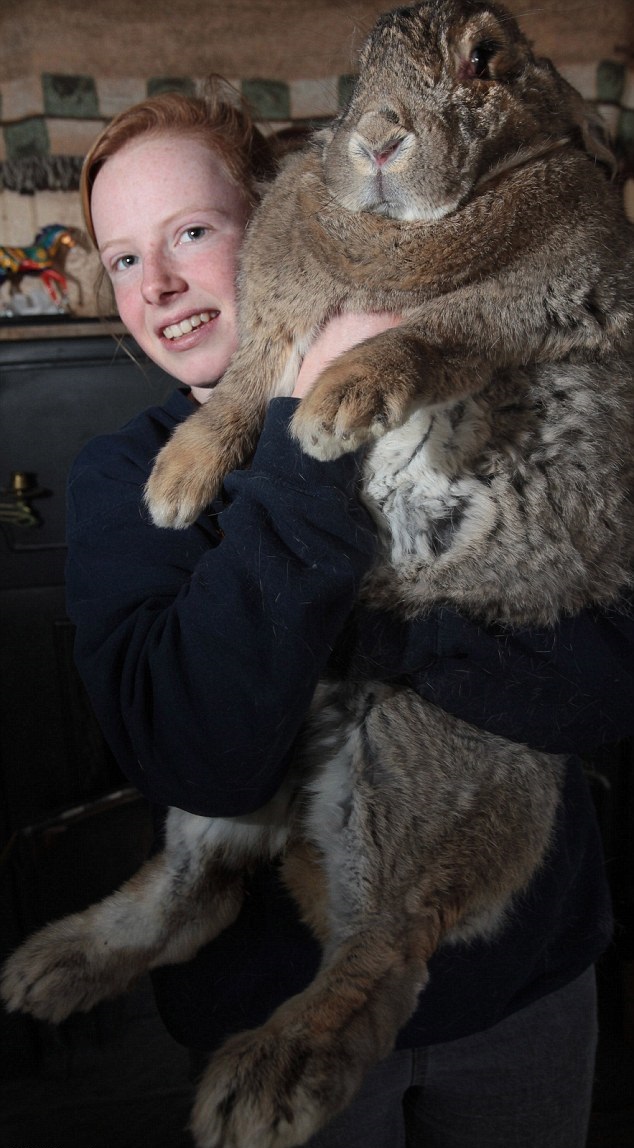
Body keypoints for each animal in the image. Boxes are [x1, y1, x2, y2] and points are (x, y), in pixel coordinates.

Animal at [1, 2, 634, 1148]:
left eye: (488, 60)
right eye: (358, 67)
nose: (378, 140)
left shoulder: (533, 306)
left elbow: (436, 333)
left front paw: (339, 405)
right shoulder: (275, 327)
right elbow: (243, 387)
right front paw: (175, 483)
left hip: (416, 749)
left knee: (387, 950)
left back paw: (266, 1078)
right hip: (233, 780)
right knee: (199, 889)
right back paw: (52, 966)